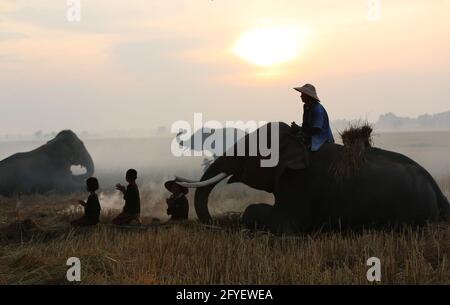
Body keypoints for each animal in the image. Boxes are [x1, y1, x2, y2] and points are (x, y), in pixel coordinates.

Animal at [176, 122, 450, 232]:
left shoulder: (302, 185)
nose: (213, 223)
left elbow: (279, 222)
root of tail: (438, 192)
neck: (297, 141)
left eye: (252, 152)